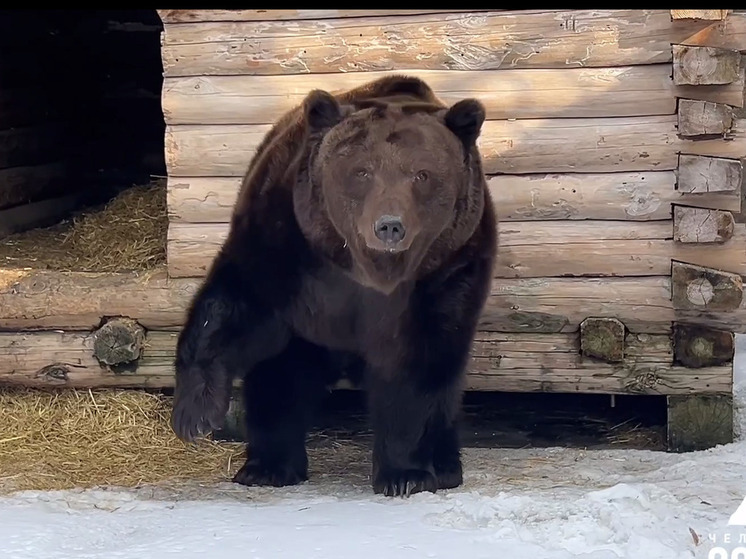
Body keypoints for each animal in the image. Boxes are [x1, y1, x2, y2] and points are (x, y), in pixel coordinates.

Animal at [169, 75, 494, 498]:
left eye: (421, 174)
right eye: (362, 171)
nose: (389, 225)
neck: (366, 272)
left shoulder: (443, 275)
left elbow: (416, 367)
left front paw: (405, 474)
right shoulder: (287, 245)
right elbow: (233, 310)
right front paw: (195, 416)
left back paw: (446, 465)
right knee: (279, 378)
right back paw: (268, 465)